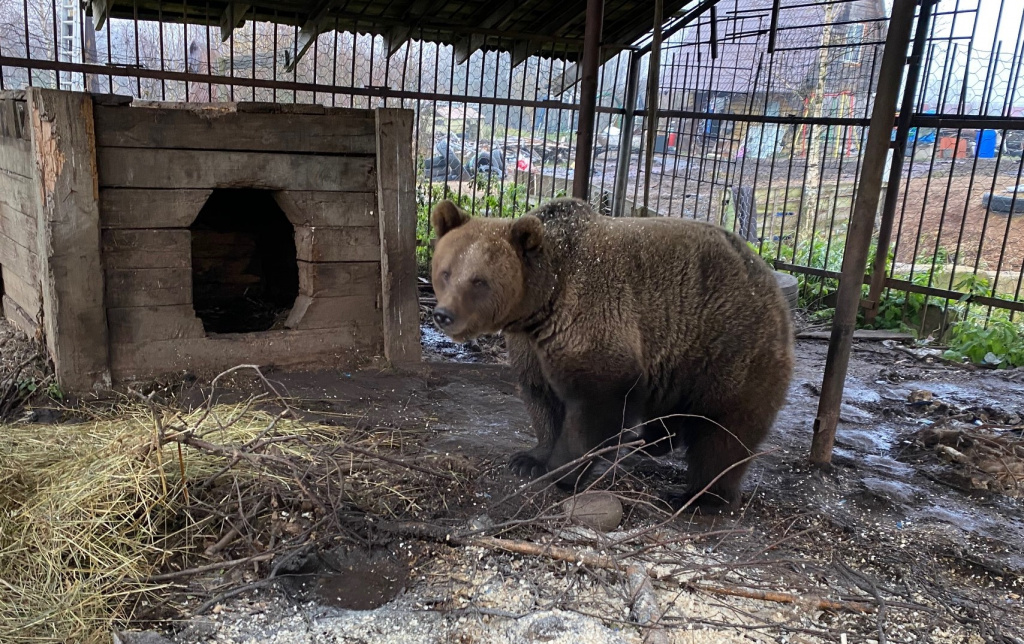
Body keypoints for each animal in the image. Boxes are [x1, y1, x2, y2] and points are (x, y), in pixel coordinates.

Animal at [429, 197, 794, 513]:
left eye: (479, 281)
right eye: (445, 272)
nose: (444, 314)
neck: (541, 304)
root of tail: (768, 278)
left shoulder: (593, 322)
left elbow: (594, 405)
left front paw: (564, 470)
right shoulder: (530, 345)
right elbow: (541, 399)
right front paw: (529, 459)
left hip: (728, 346)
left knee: (723, 434)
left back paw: (698, 495)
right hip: (677, 355)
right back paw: (648, 441)